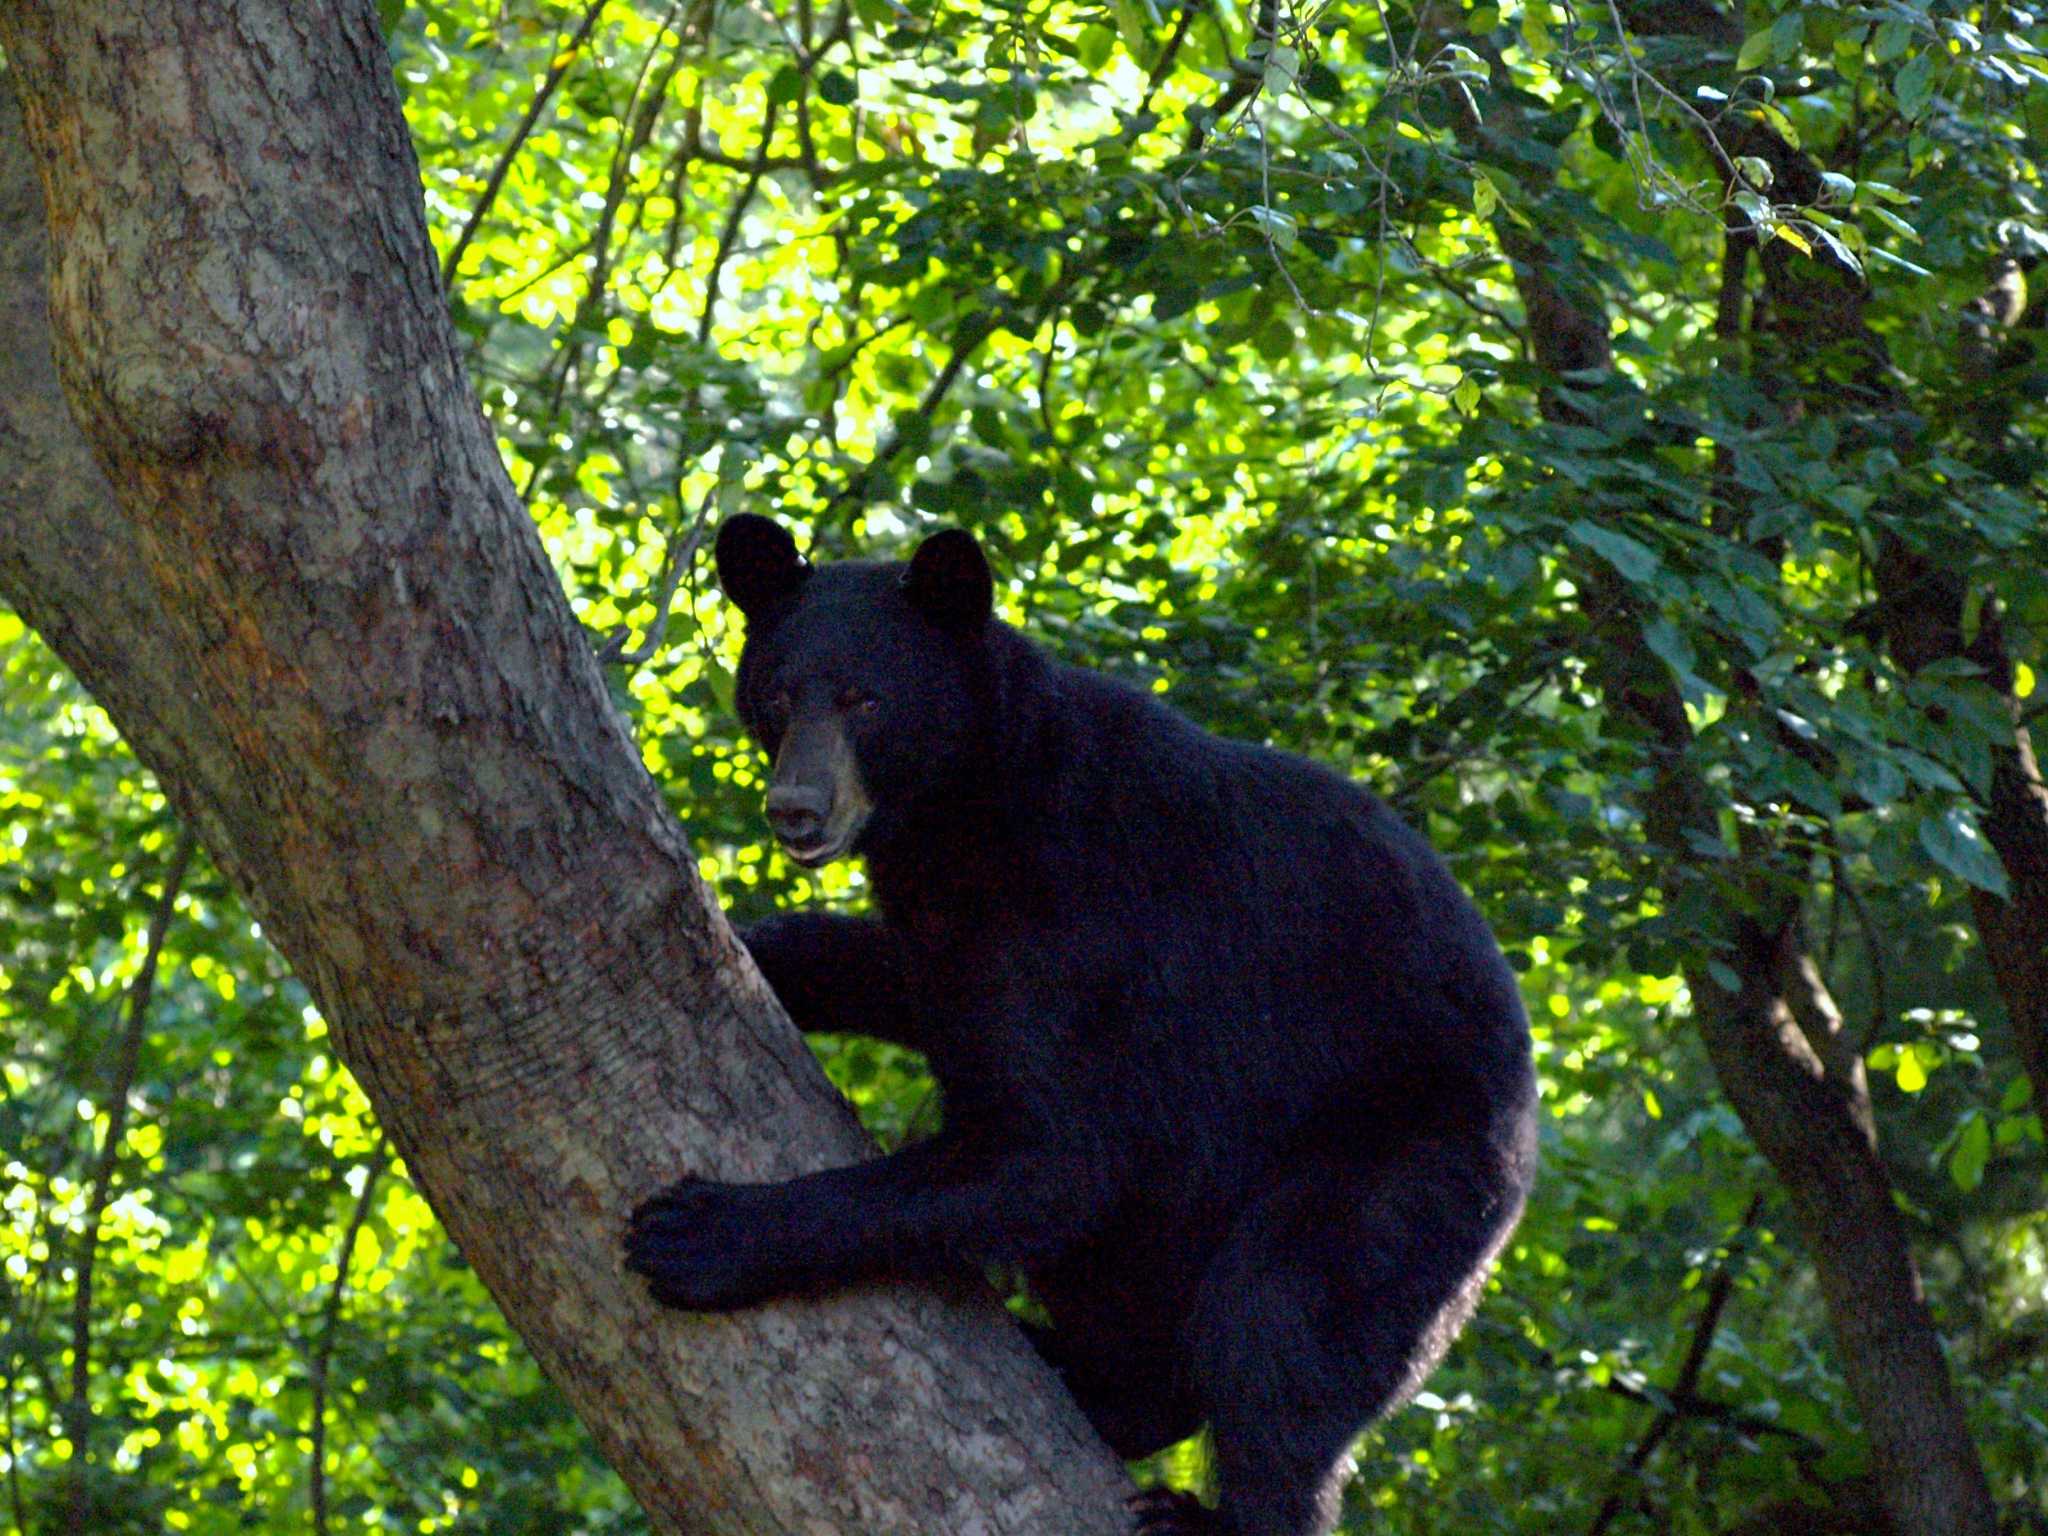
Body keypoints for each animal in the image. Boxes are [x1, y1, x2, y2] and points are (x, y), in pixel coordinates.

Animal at [622, 518, 1540, 1536]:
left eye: (865, 698)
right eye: (778, 695)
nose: (796, 808)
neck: (969, 810)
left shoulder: (1092, 913)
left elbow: (1058, 1153)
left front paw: (705, 1230)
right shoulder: (956, 928)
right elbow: (914, 988)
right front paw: (755, 944)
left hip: (1404, 1157)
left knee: (1286, 1314)